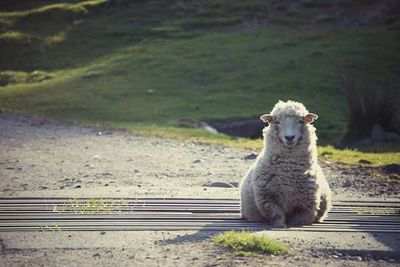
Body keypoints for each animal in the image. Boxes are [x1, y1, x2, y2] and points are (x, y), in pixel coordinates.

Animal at [241, 100, 332, 228]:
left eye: (301, 121)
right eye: (277, 122)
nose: (289, 137)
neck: (288, 170)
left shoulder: (307, 205)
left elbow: (299, 220)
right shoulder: (267, 200)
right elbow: (277, 215)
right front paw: (279, 225)